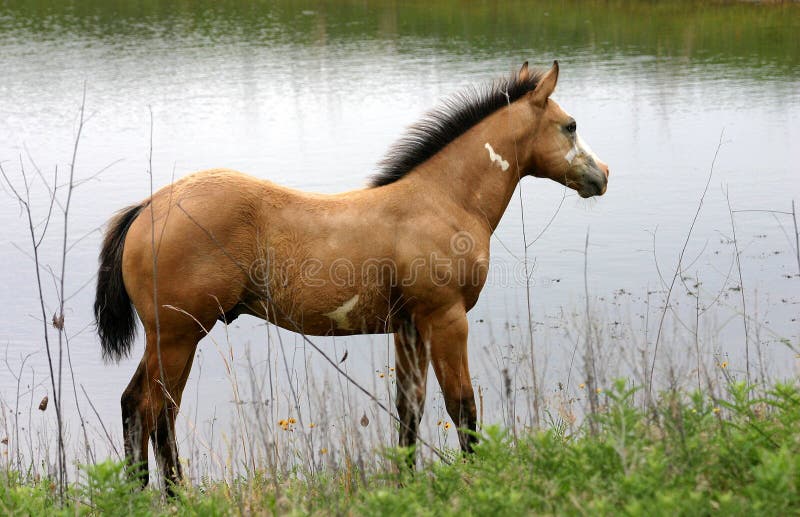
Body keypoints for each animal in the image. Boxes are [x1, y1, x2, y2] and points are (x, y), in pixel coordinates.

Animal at [92, 59, 608, 488]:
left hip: (172, 337)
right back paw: (173, 495)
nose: (602, 174)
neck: (441, 200)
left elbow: (409, 407)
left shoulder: (409, 327)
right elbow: (463, 406)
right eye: (570, 125)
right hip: (178, 336)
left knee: (140, 406)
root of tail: (147, 208)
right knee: (155, 410)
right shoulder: (446, 319)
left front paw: (405, 485)